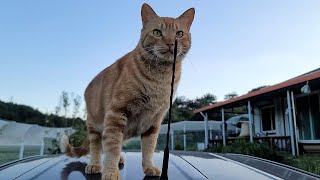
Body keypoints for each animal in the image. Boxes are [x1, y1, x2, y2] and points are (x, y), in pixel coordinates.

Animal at [60, 3, 195, 180]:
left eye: (179, 34)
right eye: (157, 32)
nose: (171, 43)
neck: (160, 78)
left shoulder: (154, 121)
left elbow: (148, 147)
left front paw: (149, 167)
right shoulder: (117, 113)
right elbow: (112, 146)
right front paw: (110, 172)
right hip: (95, 125)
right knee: (98, 145)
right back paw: (95, 164)